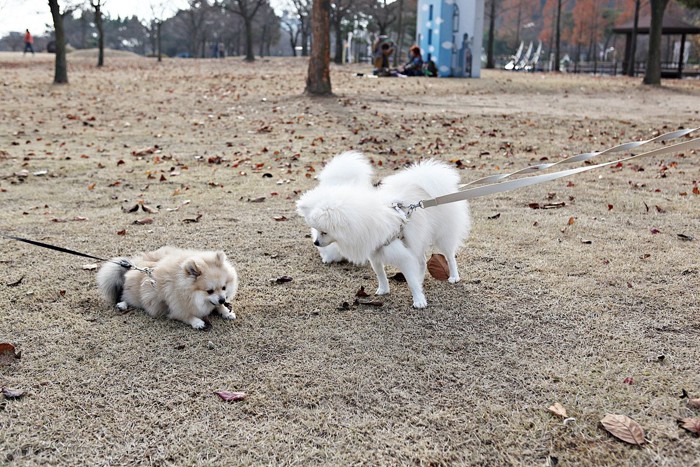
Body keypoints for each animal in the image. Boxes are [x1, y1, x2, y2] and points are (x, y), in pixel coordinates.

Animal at [296, 153, 470, 308]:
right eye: (315, 230)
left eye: (324, 232)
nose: (316, 242)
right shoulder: (375, 254)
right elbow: (380, 274)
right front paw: (384, 289)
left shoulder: (402, 256)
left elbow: (411, 281)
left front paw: (419, 300)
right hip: (416, 239)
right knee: (421, 261)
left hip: (443, 236)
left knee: (450, 256)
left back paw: (453, 276)